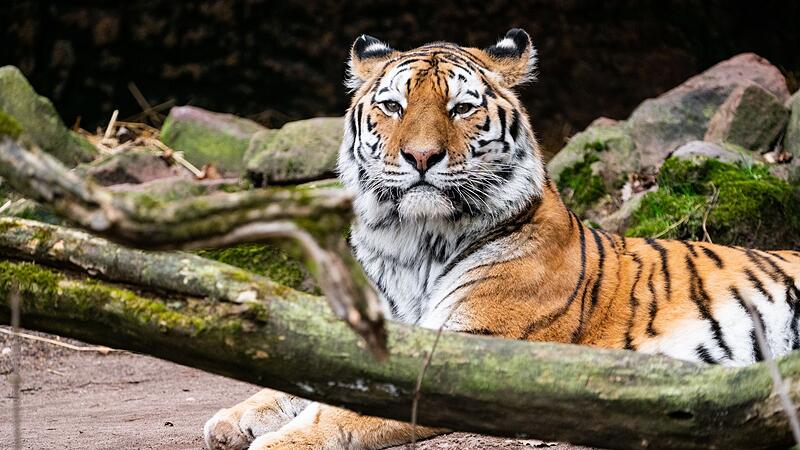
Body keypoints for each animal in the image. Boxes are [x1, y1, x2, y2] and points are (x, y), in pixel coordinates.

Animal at [203, 29, 800, 450]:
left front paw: (279, 442)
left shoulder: (464, 355)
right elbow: (293, 384)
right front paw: (233, 419)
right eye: (393, 106)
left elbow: (339, 409)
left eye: (462, 108)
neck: (412, 242)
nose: (421, 156)